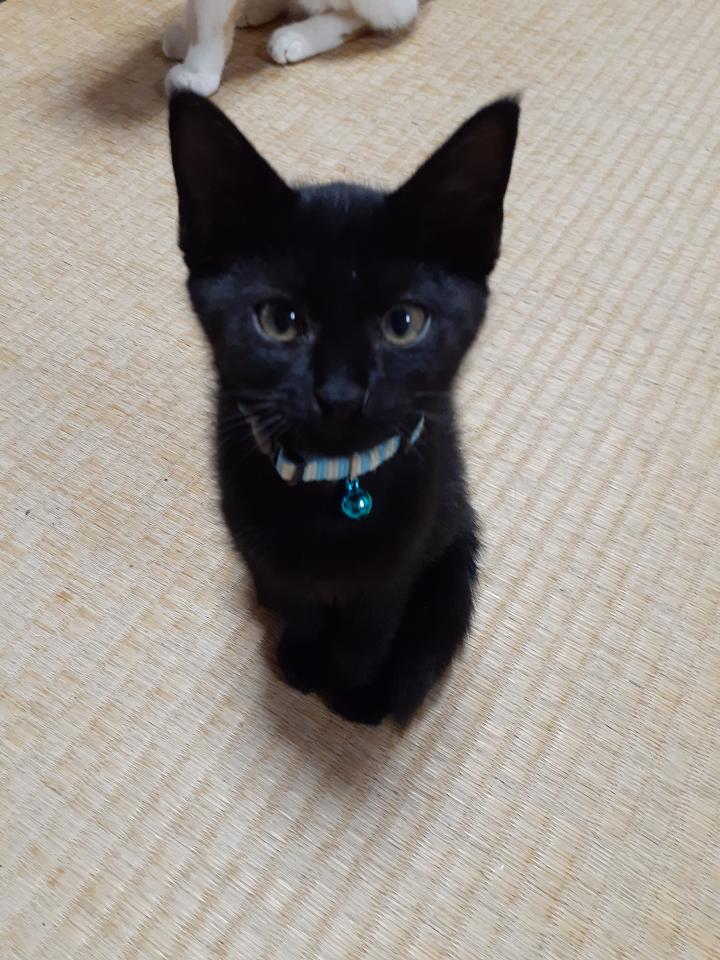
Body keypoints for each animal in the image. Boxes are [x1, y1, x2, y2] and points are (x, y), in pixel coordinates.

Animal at [168, 91, 519, 724]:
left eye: (404, 323)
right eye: (279, 320)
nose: (339, 395)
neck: (334, 488)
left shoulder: (397, 565)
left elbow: (368, 632)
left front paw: (352, 689)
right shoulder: (272, 552)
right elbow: (301, 605)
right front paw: (303, 661)